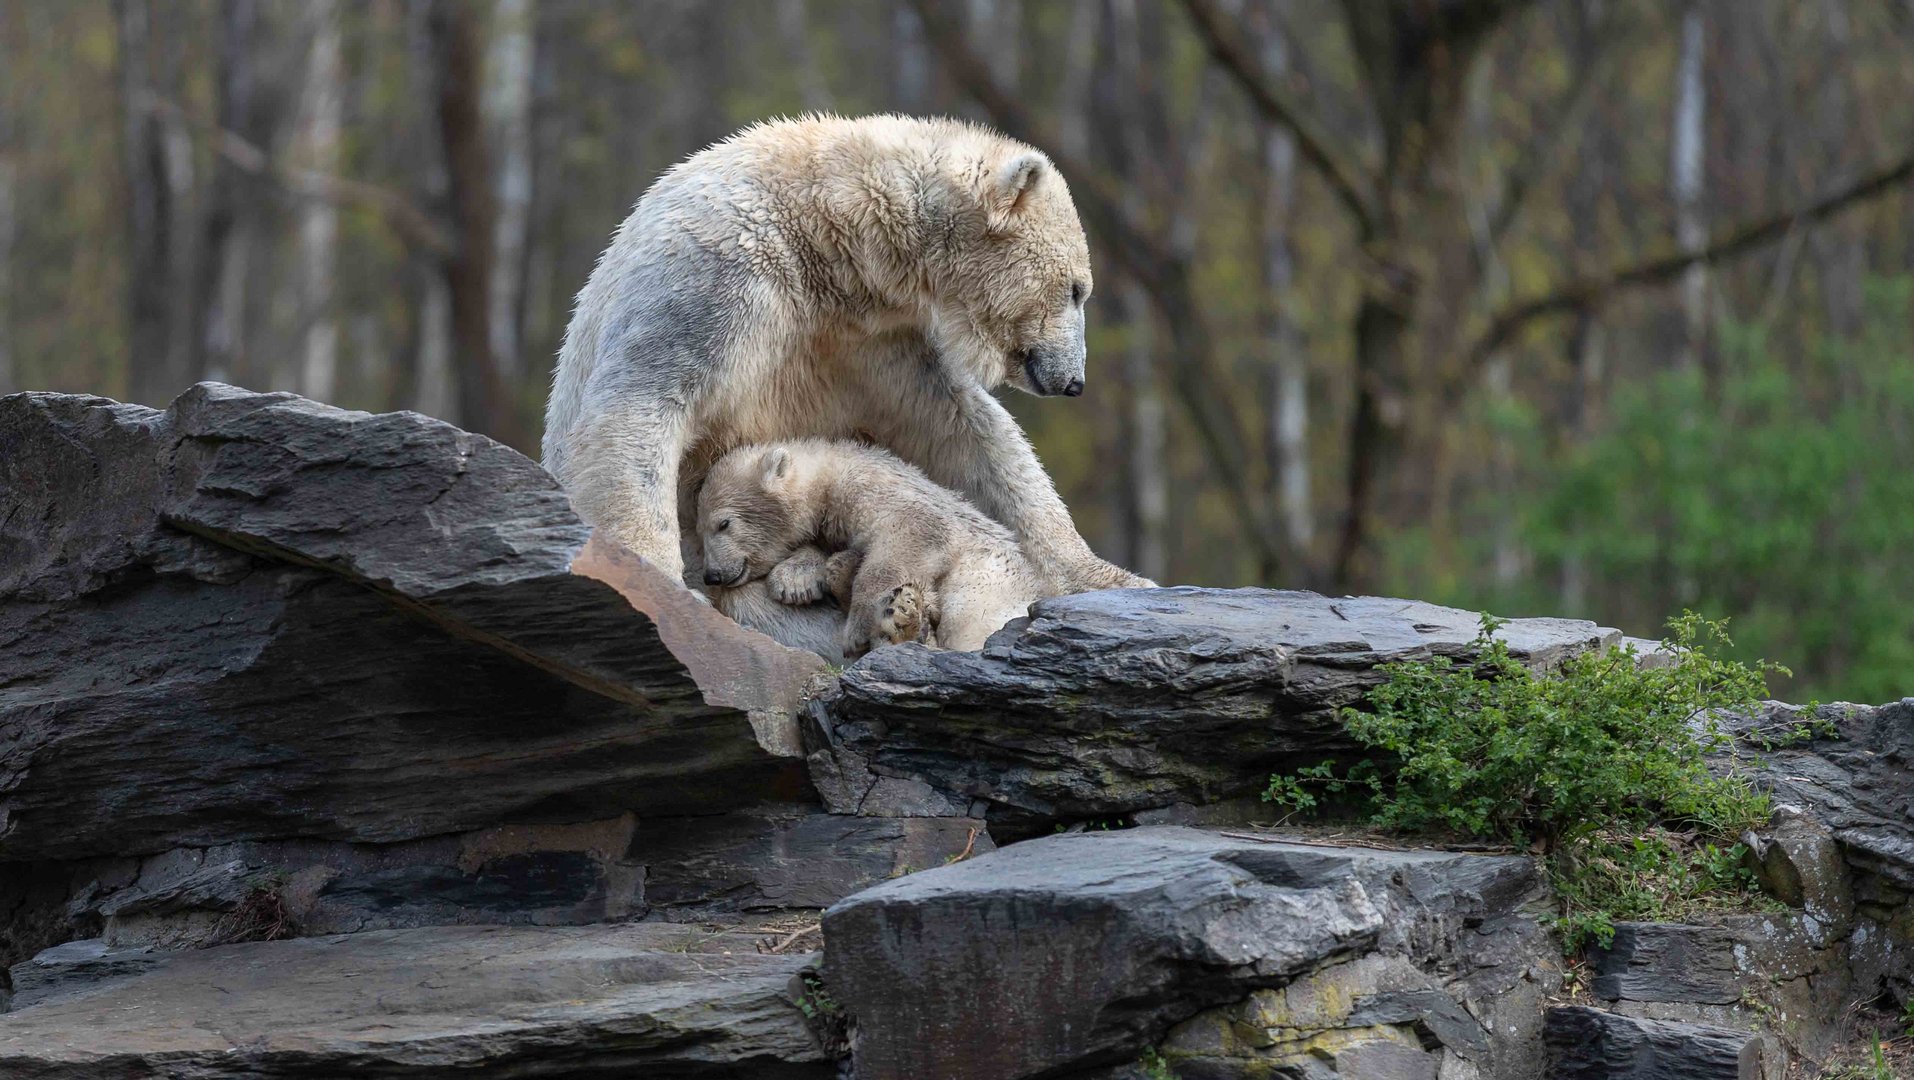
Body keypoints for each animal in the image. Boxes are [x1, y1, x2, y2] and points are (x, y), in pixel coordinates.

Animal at [547, 115, 1156, 651]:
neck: (820, 225)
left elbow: (960, 435)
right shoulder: (716, 275)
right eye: (1077, 289)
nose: (1074, 381)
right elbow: (639, 407)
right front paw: (663, 590)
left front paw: (1109, 576)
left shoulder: (866, 340)